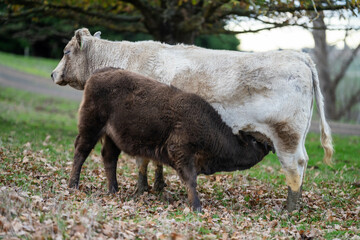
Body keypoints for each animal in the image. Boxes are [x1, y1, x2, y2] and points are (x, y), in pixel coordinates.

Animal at [52, 28, 334, 211]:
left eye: (66, 51)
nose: (53, 74)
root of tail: (299, 56)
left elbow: (142, 161)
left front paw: (142, 189)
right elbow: (155, 161)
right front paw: (159, 185)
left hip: (286, 137)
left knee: (295, 167)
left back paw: (289, 208)